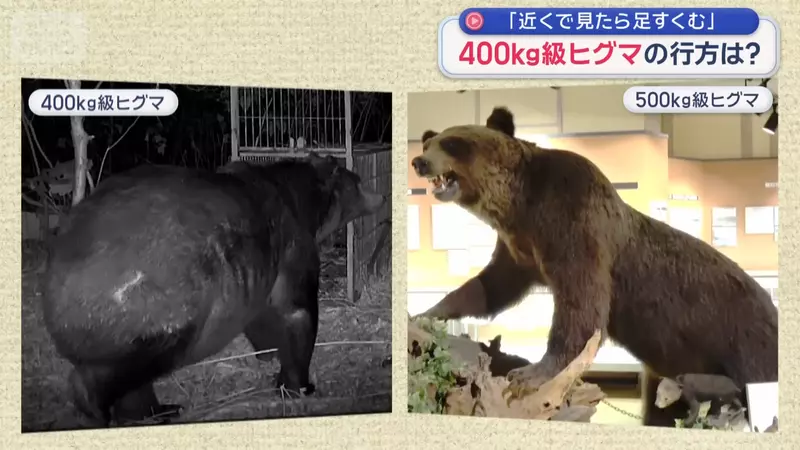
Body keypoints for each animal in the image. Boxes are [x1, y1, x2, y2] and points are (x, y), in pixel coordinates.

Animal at [41, 152, 386, 427]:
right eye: (358, 181)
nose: (381, 195)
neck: (302, 199)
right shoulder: (294, 245)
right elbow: (297, 312)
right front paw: (300, 385)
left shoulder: (259, 272)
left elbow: (263, 318)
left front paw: (268, 357)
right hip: (148, 305)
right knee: (129, 365)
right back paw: (98, 409)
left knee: (135, 385)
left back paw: (162, 410)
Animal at [410, 106, 778, 427]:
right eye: (429, 142)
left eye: (453, 143)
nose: (419, 160)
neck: (521, 207)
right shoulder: (520, 249)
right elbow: (490, 287)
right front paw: (427, 313)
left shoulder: (575, 221)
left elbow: (583, 305)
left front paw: (529, 373)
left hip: (745, 341)